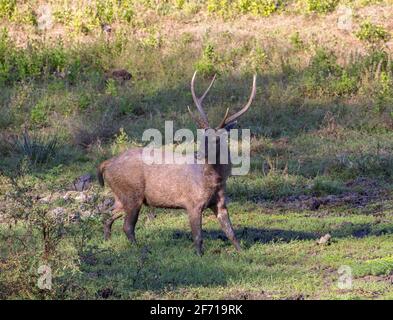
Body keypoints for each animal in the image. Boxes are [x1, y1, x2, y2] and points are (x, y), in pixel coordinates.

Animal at [97, 71, 258, 256]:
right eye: (201, 136)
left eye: (217, 140)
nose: (198, 154)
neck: (215, 181)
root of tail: (106, 164)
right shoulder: (192, 203)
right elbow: (198, 236)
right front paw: (199, 256)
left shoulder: (220, 203)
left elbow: (230, 232)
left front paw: (242, 252)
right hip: (131, 194)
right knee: (127, 226)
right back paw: (140, 249)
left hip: (121, 196)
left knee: (108, 216)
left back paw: (107, 241)